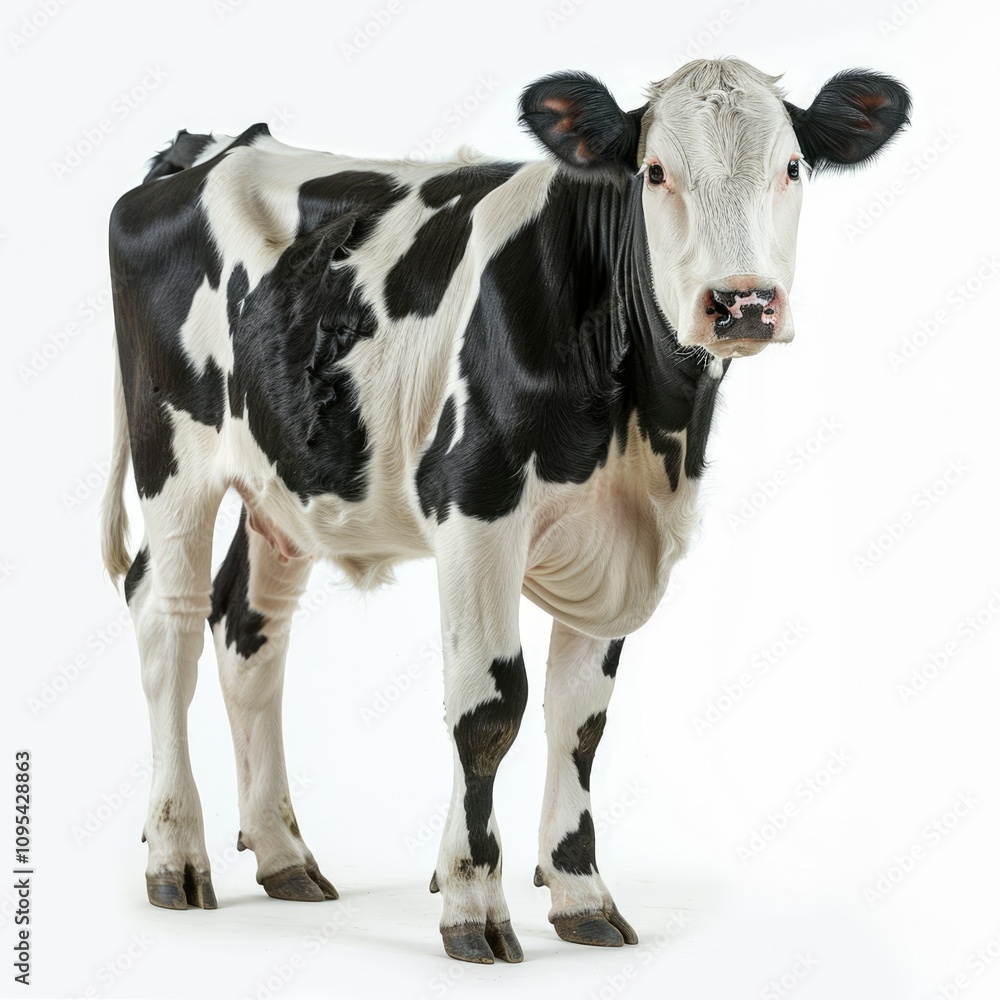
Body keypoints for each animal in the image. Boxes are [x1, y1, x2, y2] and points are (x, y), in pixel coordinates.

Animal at [100, 57, 910, 964]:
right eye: (654, 171)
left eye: (793, 167)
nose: (742, 303)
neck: (644, 419)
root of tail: (204, 150)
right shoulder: (476, 507)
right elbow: (489, 709)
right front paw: (472, 903)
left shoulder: (617, 542)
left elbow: (580, 719)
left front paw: (580, 892)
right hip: (173, 454)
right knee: (167, 624)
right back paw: (175, 856)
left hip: (287, 480)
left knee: (248, 628)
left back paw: (283, 856)